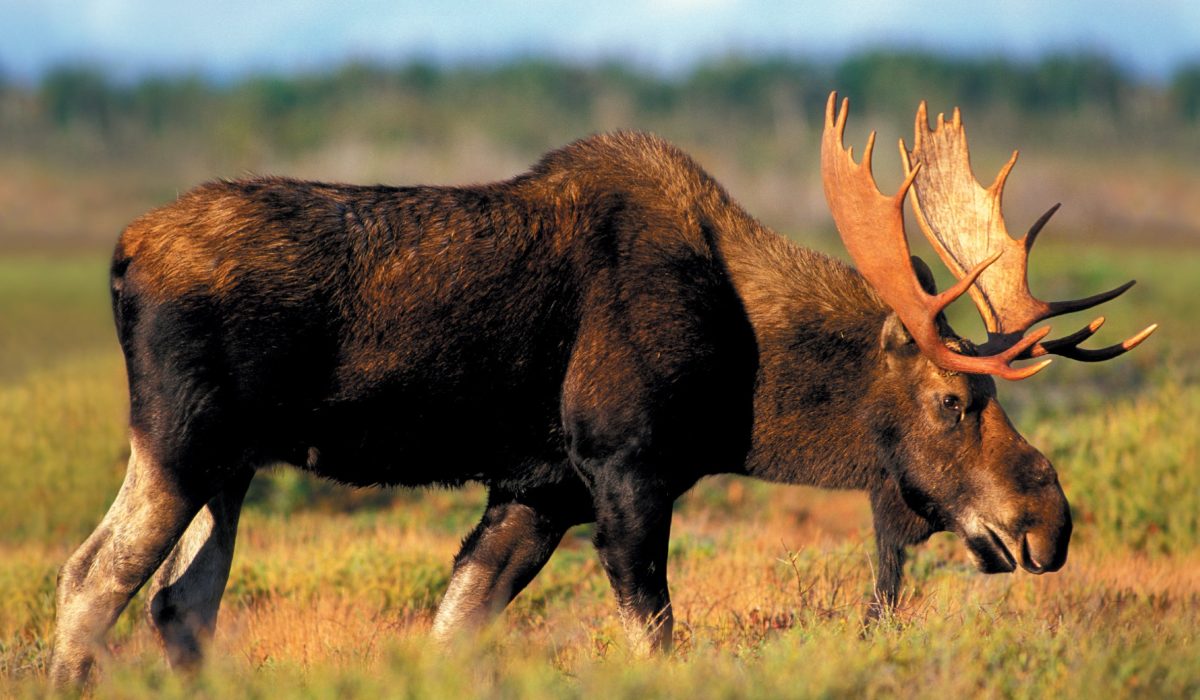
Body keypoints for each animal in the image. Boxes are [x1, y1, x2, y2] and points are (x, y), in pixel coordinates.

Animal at [49, 92, 1154, 687]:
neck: (747, 378)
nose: (1049, 522)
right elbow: (655, 638)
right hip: (177, 440)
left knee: (179, 604)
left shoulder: (537, 493)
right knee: (90, 579)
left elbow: (454, 630)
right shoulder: (627, 472)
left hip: (230, 465)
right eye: (954, 402)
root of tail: (120, 253)